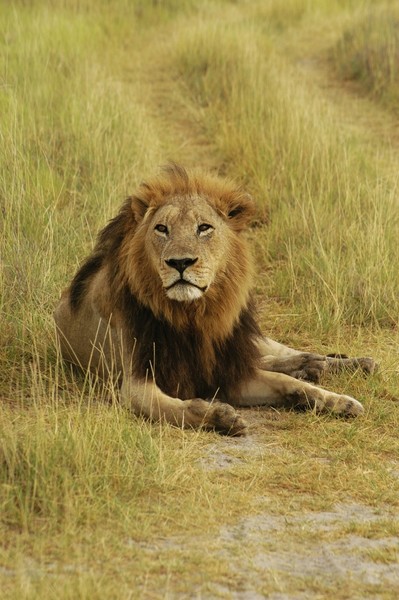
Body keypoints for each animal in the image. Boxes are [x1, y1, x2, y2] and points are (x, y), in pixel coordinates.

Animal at [54, 164, 376, 436]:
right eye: (162, 229)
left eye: (204, 228)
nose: (180, 262)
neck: (194, 315)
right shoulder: (134, 382)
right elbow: (171, 408)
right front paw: (220, 416)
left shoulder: (229, 371)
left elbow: (286, 382)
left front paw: (338, 401)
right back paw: (310, 367)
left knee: (278, 353)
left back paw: (343, 363)